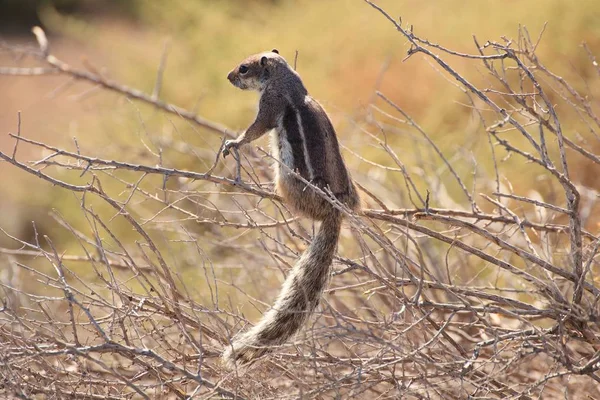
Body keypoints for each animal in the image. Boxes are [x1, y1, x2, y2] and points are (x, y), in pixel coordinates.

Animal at [223, 49, 358, 366]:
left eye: (243, 68)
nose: (228, 76)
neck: (289, 82)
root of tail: (335, 210)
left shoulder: (270, 105)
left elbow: (254, 130)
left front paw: (234, 142)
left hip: (288, 178)